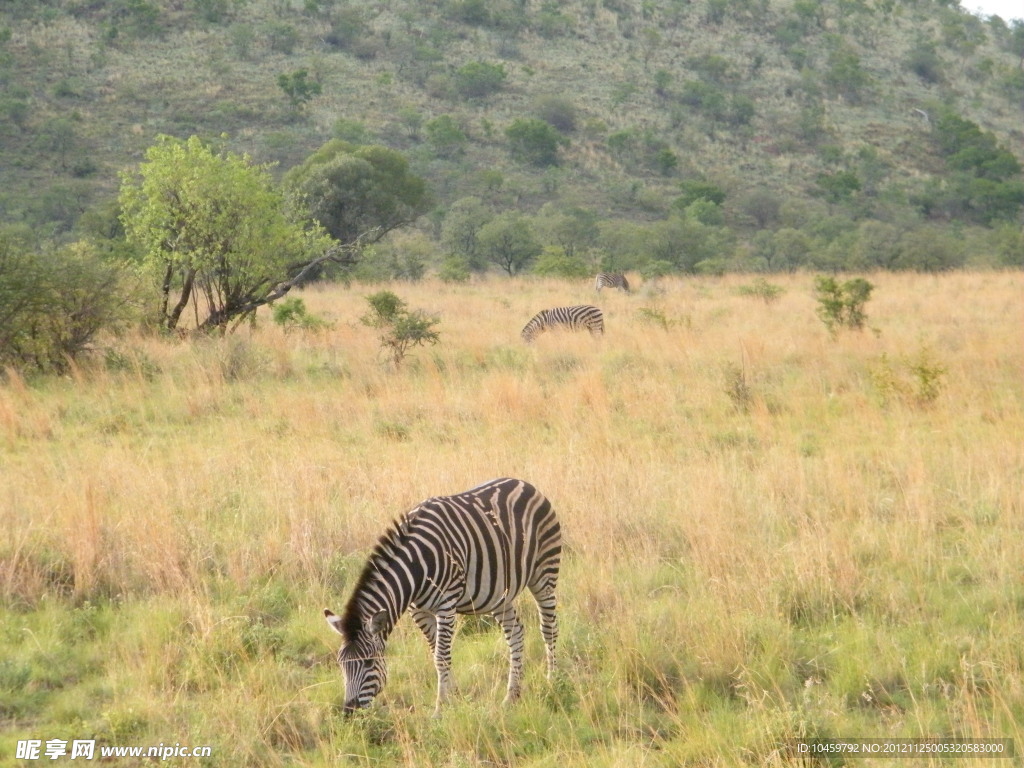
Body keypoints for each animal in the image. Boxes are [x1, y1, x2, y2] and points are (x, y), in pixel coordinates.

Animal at [323, 479, 561, 720]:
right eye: (341, 664)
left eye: (369, 662)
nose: (349, 713)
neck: (416, 567)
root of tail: (524, 483)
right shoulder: (418, 610)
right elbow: (438, 653)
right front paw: (454, 698)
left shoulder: (446, 604)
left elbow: (441, 656)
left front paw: (440, 708)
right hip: (499, 594)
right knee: (516, 633)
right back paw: (512, 696)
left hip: (543, 573)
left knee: (548, 627)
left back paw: (552, 680)